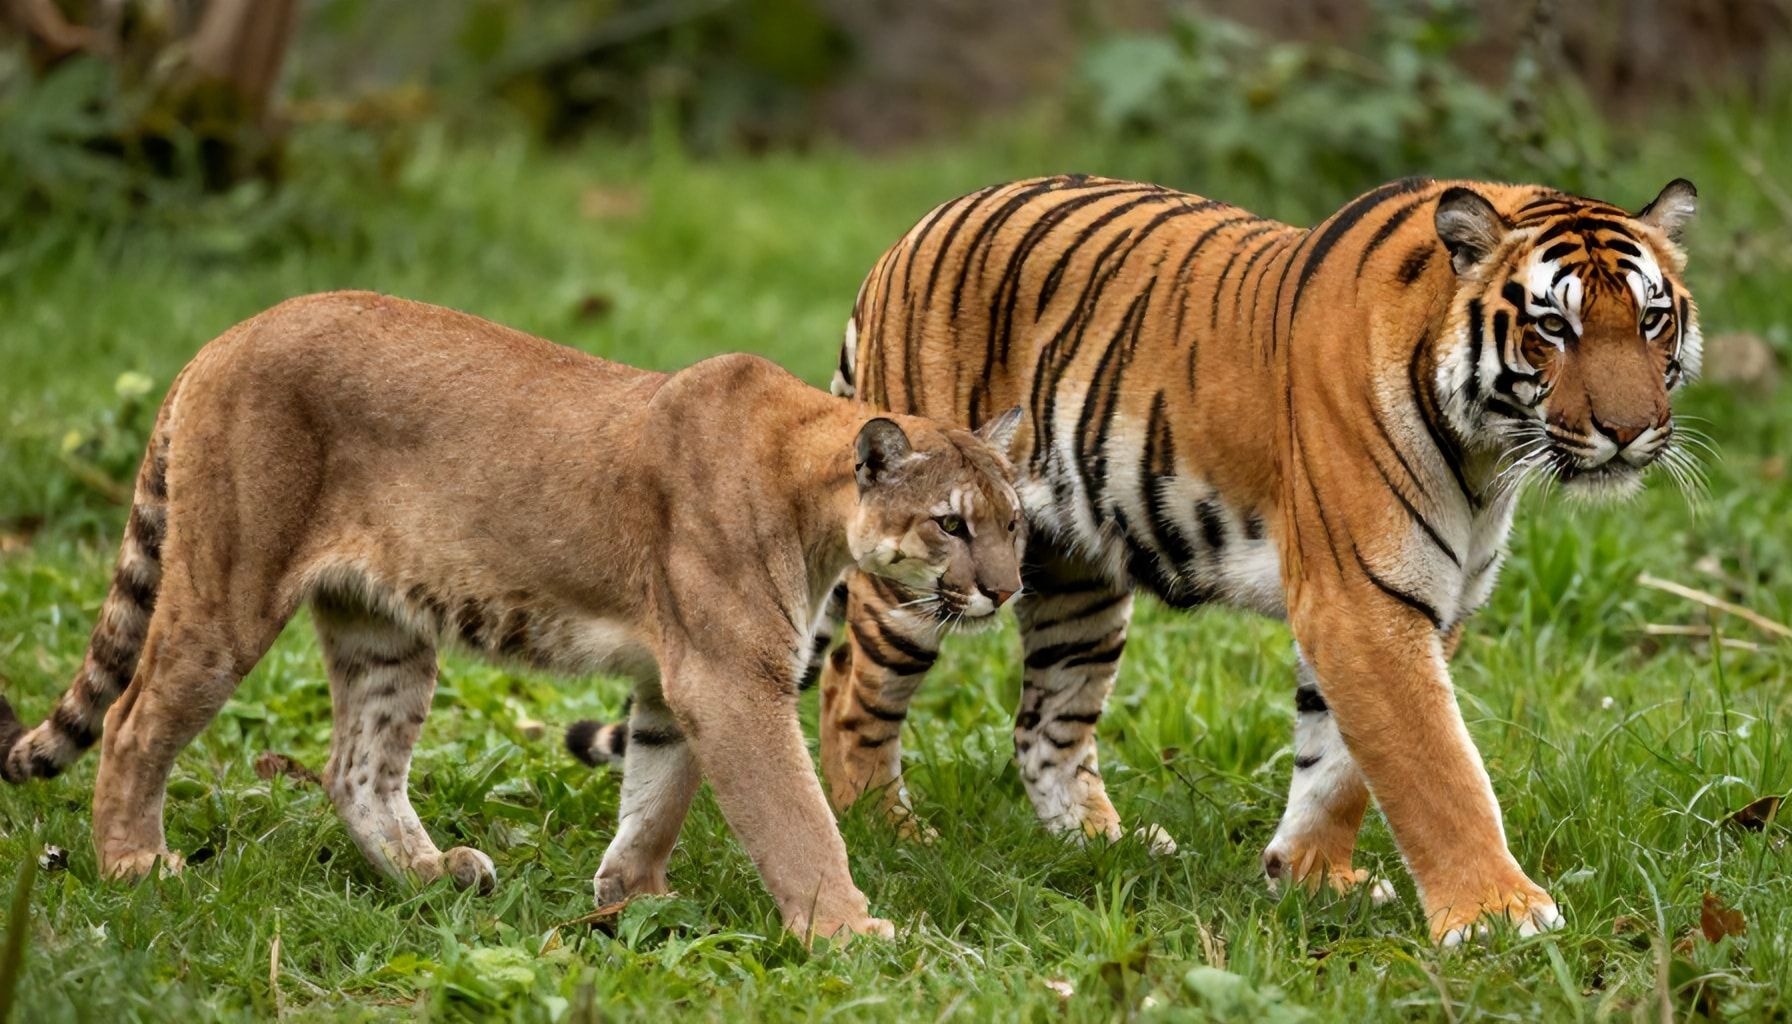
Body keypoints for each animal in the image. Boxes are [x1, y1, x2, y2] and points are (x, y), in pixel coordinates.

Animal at [0, 291, 1026, 942]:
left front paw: (632, 900)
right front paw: (852, 933)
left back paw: (433, 878)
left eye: (1015, 522)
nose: (1007, 590)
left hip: (383, 629)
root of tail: (224, 337)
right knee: (133, 720)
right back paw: (136, 867)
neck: (815, 501)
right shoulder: (732, 680)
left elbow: (657, 790)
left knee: (356, 768)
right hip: (228, 594)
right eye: (950, 524)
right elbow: (795, 817)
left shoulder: (678, 680)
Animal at [816, 174, 1701, 943]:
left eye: (1652, 320)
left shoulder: (1419, 601)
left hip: (1077, 584)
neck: (1486, 453)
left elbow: (1339, 763)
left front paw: (1309, 877)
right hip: (921, 574)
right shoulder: (1363, 602)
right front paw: (1497, 915)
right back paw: (889, 834)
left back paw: (1106, 844)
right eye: (1554, 327)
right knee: (849, 689)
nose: (1629, 431)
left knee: (1043, 726)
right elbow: (1437, 767)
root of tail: (906, 238)